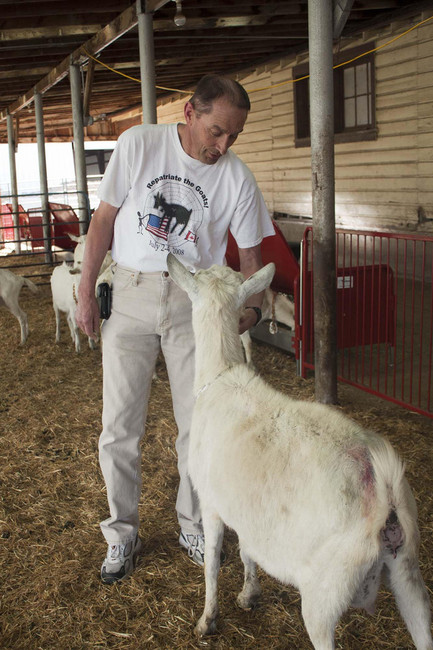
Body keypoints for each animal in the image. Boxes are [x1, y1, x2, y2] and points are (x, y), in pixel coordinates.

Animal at [166, 253, 433, 650]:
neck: (221, 375)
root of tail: (381, 489)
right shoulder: (247, 510)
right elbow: (247, 549)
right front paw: (249, 594)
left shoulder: (212, 504)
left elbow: (213, 563)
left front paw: (206, 620)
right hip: (409, 569)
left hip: (326, 591)